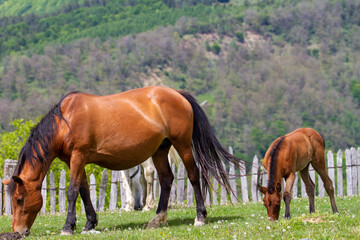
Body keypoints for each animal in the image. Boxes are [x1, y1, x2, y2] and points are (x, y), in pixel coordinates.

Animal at [2, 86, 239, 236]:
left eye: (19, 199)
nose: (19, 232)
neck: (65, 121)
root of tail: (177, 94)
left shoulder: (78, 157)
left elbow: (72, 191)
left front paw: (68, 227)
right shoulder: (76, 160)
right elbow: (84, 190)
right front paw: (90, 223)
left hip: (182, 145)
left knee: (193, 175)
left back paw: (200, 217)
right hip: (160, 150)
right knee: (166, 179)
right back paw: (157, 219)